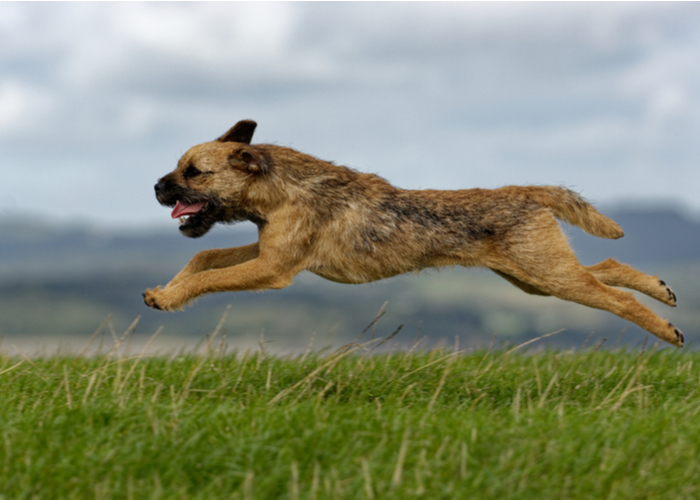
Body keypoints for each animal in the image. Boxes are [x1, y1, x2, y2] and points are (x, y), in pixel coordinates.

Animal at [142, 120, 684, 348]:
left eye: (193, 172)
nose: (155, 187)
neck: (279, 190)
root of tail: (527, 191)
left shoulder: (273, 268)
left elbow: (209, 277)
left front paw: (170, 298)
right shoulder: (263, 249)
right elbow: (203, 261)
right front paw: (164, 290)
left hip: (547, 275)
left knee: (614, 297)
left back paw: (665, 328)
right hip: (534, 276)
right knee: (605, 269)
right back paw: (661, 288)